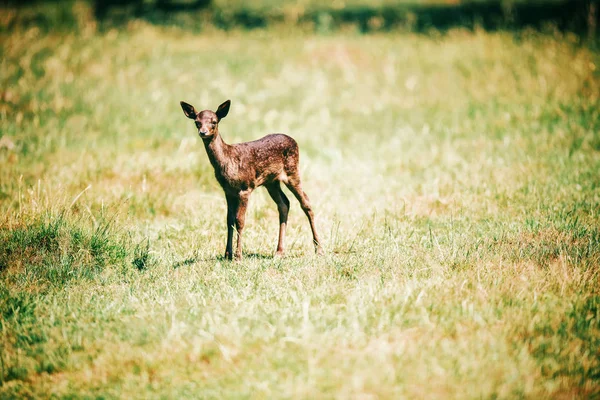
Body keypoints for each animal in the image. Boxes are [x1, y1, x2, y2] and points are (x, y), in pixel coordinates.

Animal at [179, 100, 324, 260]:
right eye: (197, 122)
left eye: (214, 121)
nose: (203, 132)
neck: (228, 161)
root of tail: (294, 141)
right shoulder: (228, 190)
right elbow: (229, 220)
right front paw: (227, 254)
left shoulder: (245, 188)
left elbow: (240, 221)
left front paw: (238, 256)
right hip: (271, 182)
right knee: (284, 204)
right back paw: (279, 251)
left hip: (292, 171)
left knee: (306, 202)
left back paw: (319, 250)